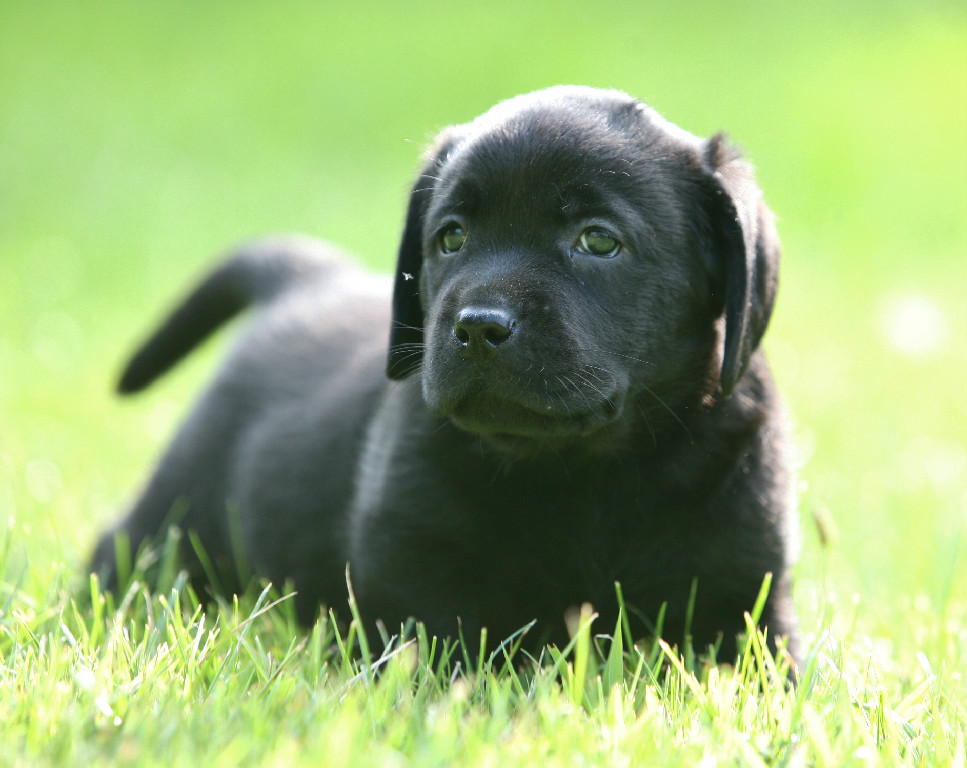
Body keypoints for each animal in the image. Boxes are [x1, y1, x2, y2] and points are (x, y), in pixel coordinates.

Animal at [91, 82, 800, 660]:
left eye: (599, 240)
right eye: (451, 237)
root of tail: (309, 281)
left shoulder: (748, 606)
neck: (583, 471)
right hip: (170, 523)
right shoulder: (409, 581)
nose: (478, 326)